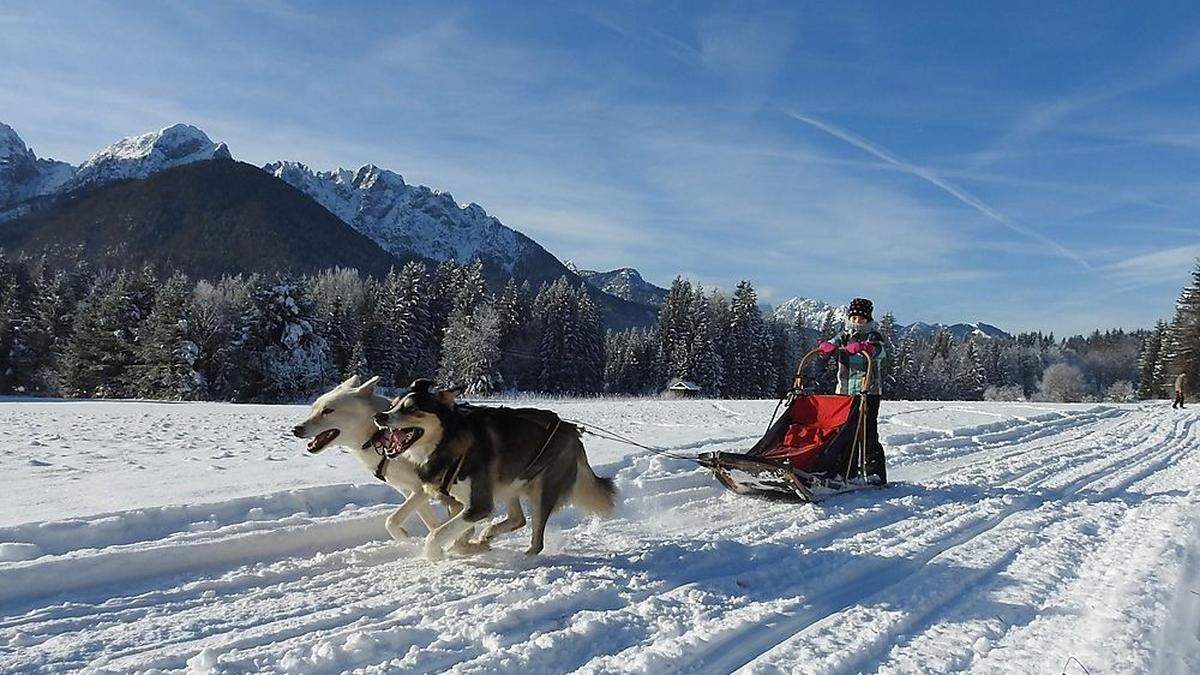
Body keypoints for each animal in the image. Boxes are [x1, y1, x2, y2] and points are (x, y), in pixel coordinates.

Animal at [292, 374, 456, 542]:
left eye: (328, 410)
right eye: (313, 409)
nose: (296, 429)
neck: (377, 435)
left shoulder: (423, 489)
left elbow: (391, 520)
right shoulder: (410, 490)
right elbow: (430, 522)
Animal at [374, 379, 619, 557]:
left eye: (412, 408)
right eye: (392, 405)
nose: (379, 416)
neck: (448, 441)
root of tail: (572, 431)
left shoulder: (479, 504)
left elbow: (436, 534)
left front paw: (435, 553)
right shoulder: (453, 499)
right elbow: (453, 531)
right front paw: (467, 546)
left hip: (542, 492)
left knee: (536, 540)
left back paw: (523, 556)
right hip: (508, 484)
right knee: (518, 519)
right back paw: (488, 534)